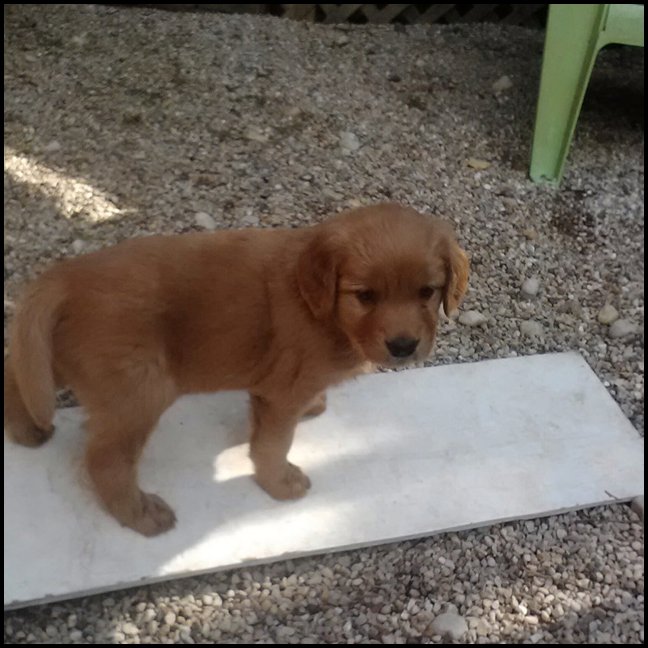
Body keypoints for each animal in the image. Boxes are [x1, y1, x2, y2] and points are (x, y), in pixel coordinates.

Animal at [2, 202, 468, 536]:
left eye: (427, 292)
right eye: (365, 296)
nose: (404, 347)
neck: (319, 308)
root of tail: (65, 276)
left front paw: (314, 406)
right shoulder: (280, 393)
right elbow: (273, 444)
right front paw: (279, 483)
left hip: (68, 363)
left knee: (16, 369)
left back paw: (26, 429)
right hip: (137, 392)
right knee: (104, 461)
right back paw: (140, 513)